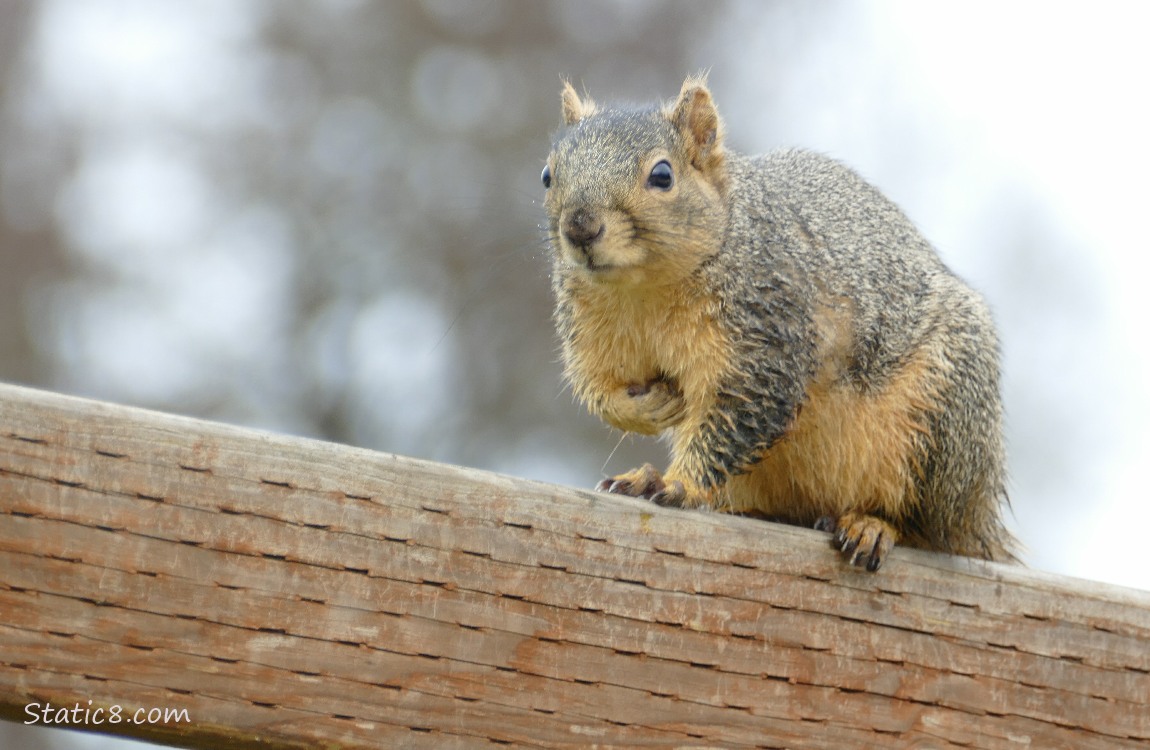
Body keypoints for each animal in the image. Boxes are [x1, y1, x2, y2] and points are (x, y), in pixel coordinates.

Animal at [542, 75, 1018, 571]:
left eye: (662, 176)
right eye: (548, 175)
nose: (580, 228)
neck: (644, 288)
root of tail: (980, 518)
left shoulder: (766, 337)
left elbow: (735, 420)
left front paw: (675, 483)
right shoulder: (592, 333)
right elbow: (599, 390)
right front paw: (650, 409)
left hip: (942, 424)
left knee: (928, 529)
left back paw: (873, 526)